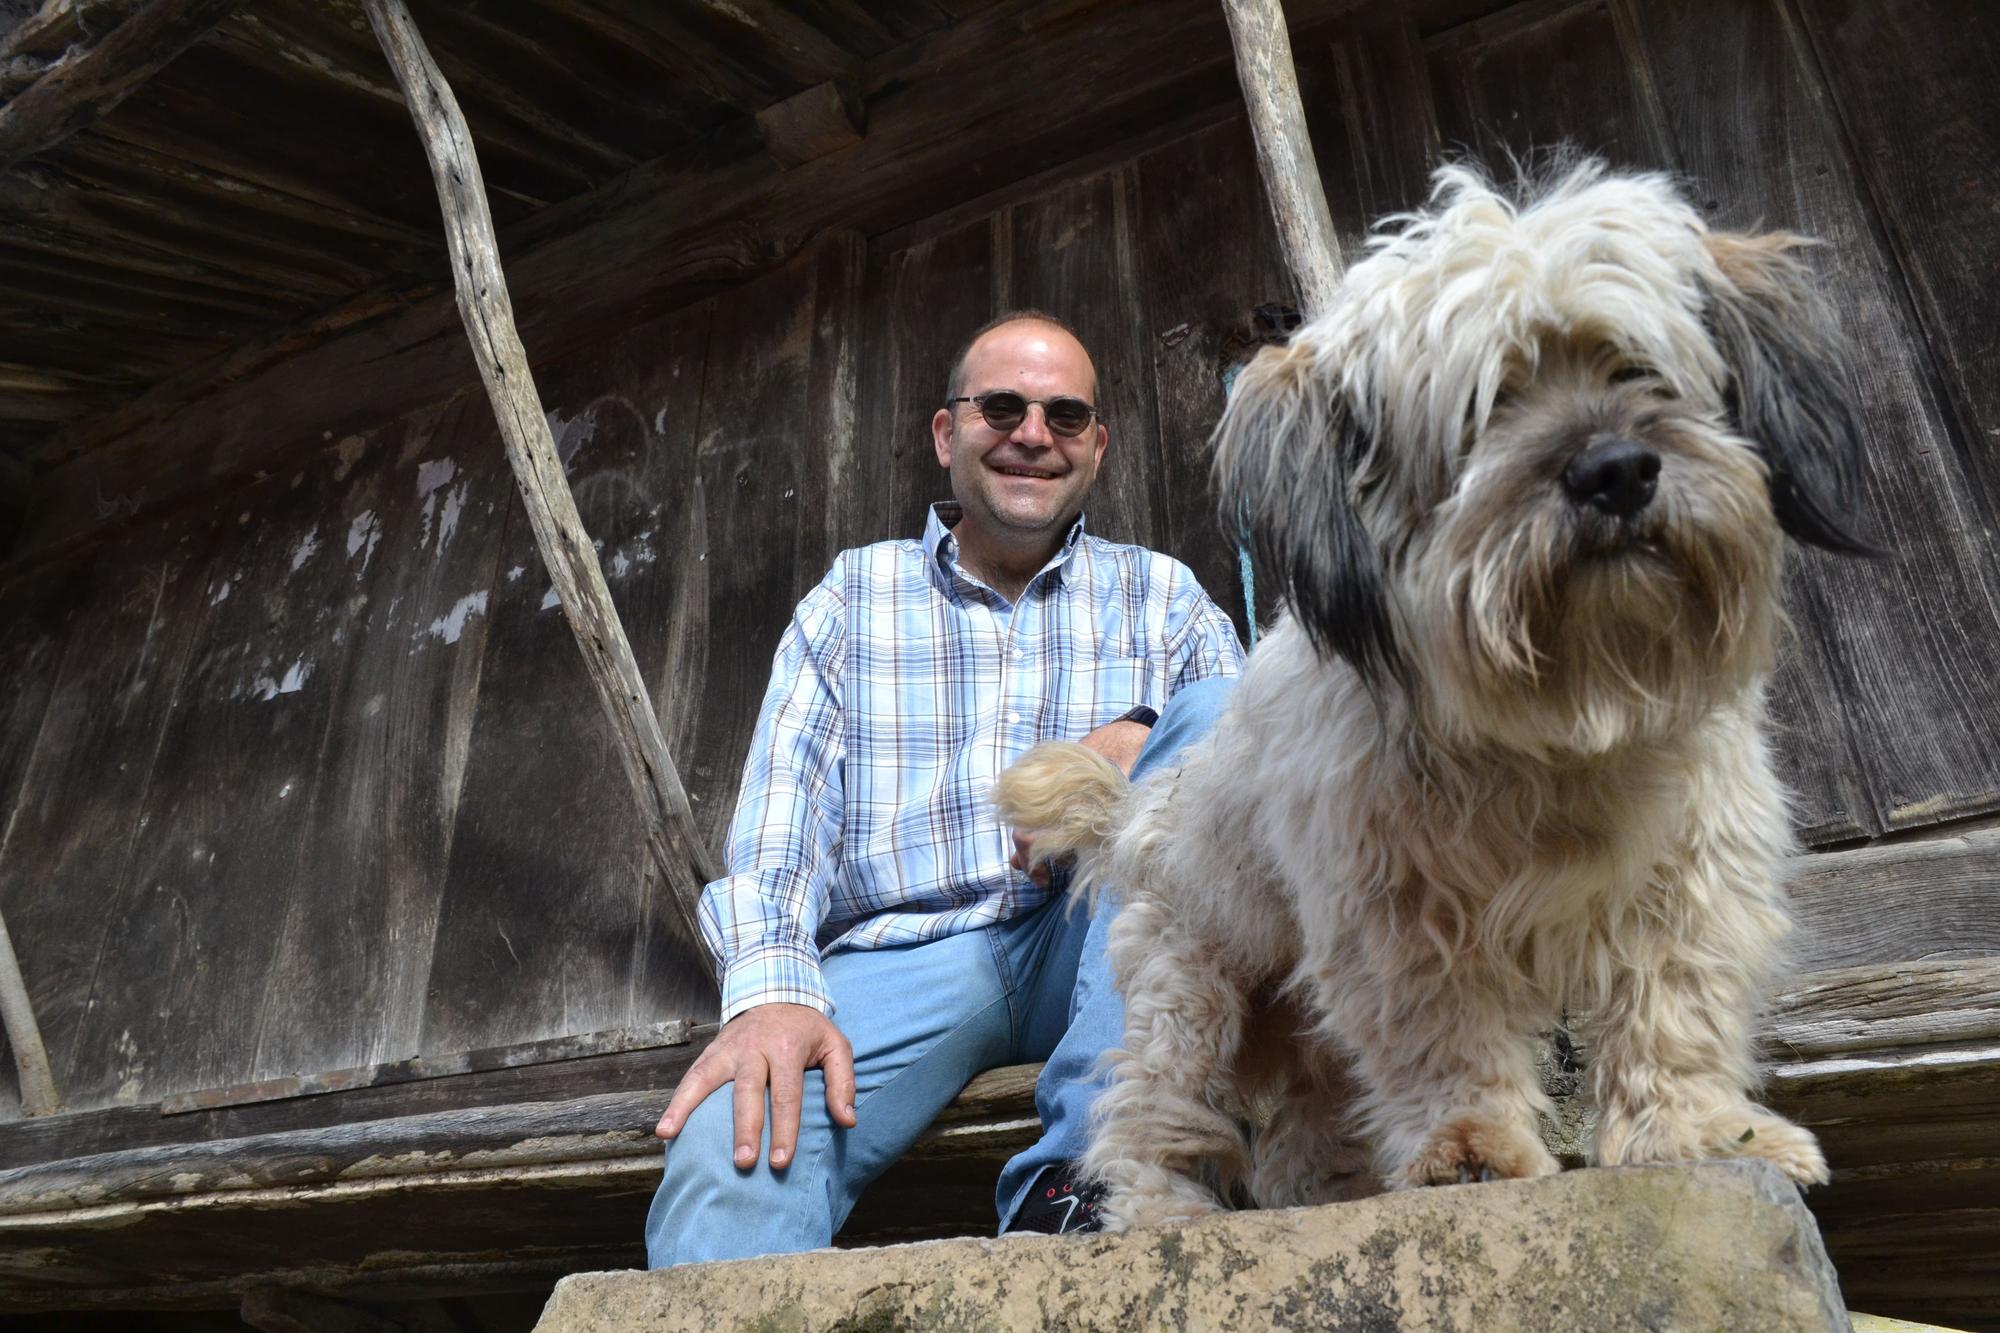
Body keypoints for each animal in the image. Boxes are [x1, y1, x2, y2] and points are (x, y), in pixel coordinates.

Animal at [1000, 158, 1872, 1224]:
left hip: (1301, 1025)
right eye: (1482, 407)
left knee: (1303, 1127)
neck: (1555, 714)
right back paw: (1164, 1206)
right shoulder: (1396, 912)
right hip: (1195, 986)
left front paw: (1702, 1131)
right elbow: (1442, 1034)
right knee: (1153, 1108)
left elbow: (1675, 1005)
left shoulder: (1689, 871)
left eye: (1638, 368)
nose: (1616, 469)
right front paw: (1469, 1145)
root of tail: (1140, 814)